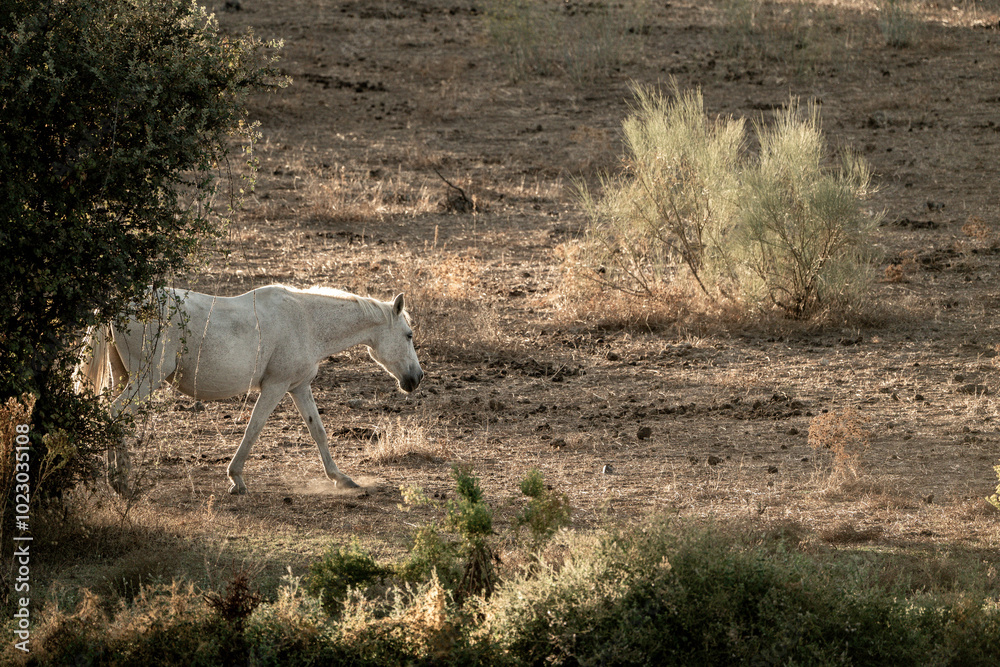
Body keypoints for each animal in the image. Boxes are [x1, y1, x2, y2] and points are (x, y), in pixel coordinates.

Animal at [76, 284, 423, 494]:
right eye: (408, 335)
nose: (417, 378)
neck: (306, 320)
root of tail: (118, 306)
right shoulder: (275, 386)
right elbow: (254, 429)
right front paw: (236, 478)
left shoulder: (299, 387)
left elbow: (318, 432)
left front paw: (340, 478)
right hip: (145, 380)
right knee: (115, 414)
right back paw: (120, 482)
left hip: (126, 378)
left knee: (113, 418)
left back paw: (117, 479)